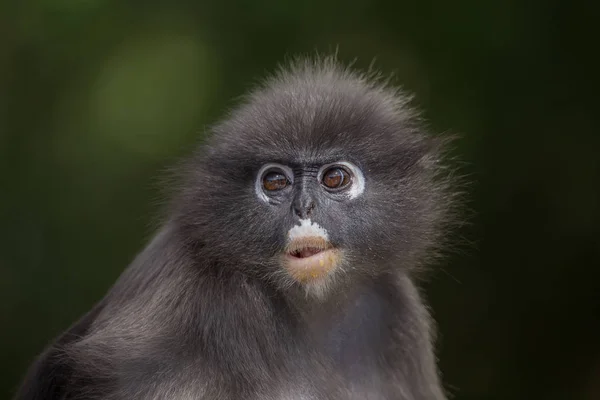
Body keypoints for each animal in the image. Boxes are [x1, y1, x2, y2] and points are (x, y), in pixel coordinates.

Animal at [12, 57, 460, 400]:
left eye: (335, 178)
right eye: (275, 182)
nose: (304, 207)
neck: (311, 303)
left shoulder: (397, 308)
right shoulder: (177, 317)